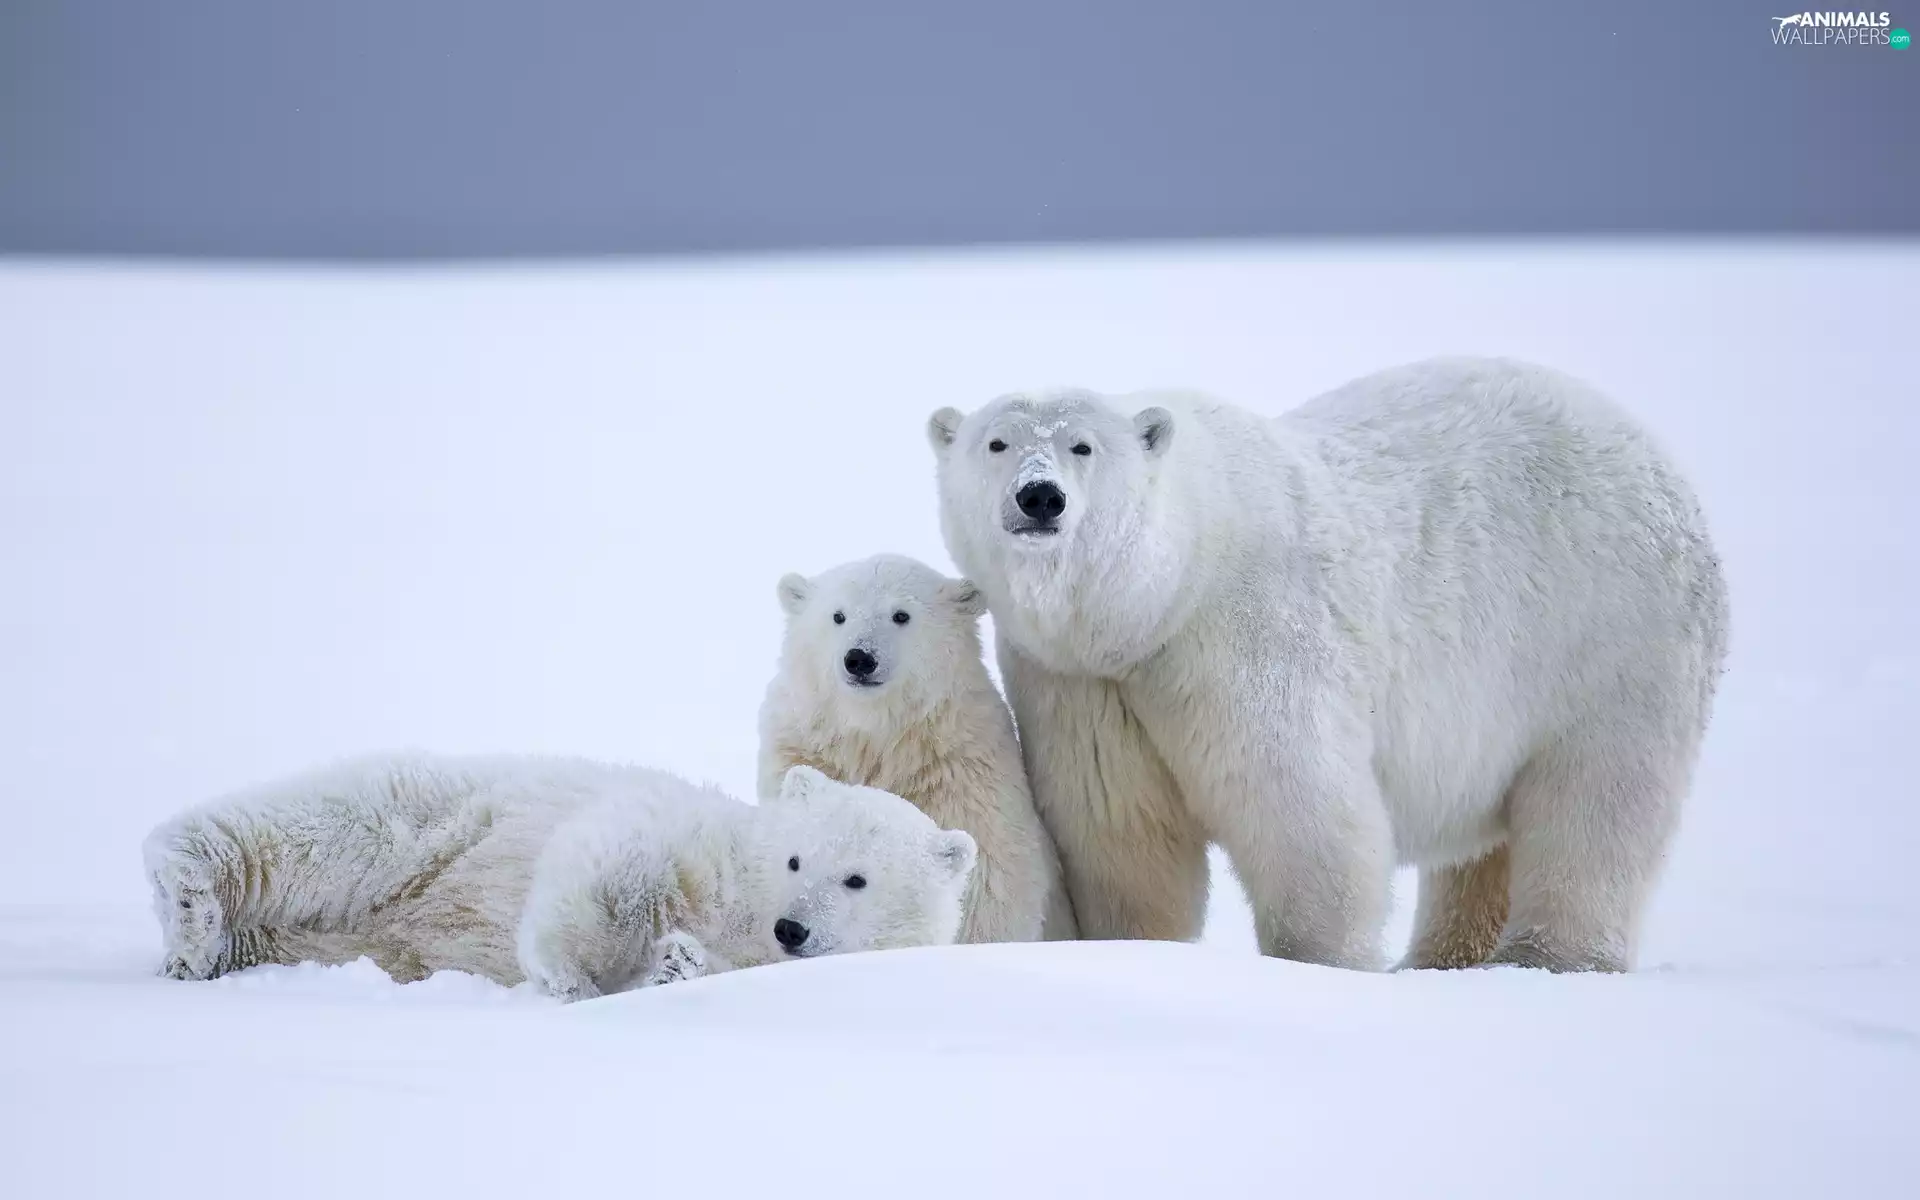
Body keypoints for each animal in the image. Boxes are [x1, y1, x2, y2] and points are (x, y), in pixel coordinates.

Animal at [143, 754, 976, 999]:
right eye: (799, 858)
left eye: (857, 880)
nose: (792, 927)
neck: (744, 904)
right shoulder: (694, 837)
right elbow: (613, 857)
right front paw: (568, 973)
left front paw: (674, 963)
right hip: (428, 819)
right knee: (317, 827)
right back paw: (188, 898)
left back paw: (209, 946)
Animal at [757, 553, 1078, 944]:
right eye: (838, 615)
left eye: (901, 615)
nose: (860, 658)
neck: (880, 737)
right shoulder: (803, 749)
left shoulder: (960, 773)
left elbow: (990, 881)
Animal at [928, 356, 1728, 974]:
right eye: (996, 442)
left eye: (1083, 446)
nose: (1040, 497)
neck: (1159, 596)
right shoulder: (1083, 681)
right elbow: (1121, 832)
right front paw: (1133, 947)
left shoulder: (1245, 630)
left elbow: (1300, 806)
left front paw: (1320, 964)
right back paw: (1445, 958)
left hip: (1609, 636)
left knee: (1598, 802)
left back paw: (1547, 958)